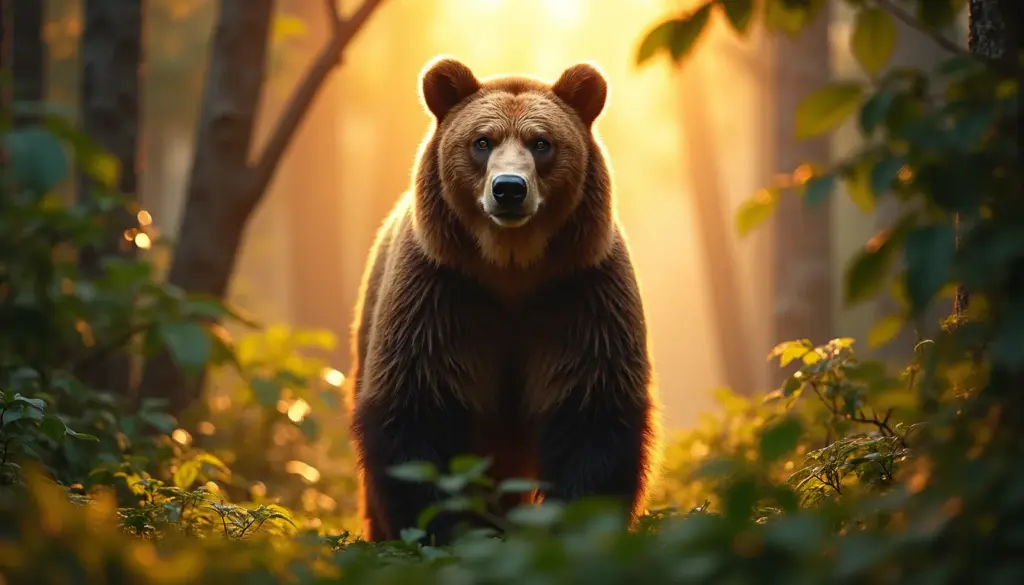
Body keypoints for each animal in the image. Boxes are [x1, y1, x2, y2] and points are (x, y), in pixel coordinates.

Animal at [346, 56, 660, 545]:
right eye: (482, 141)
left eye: (541, 142)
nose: (509, 188)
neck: (511, 270)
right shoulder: (441, 295)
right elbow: (417, 416)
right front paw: (450, 531)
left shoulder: (579, 296)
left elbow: (591, 417)